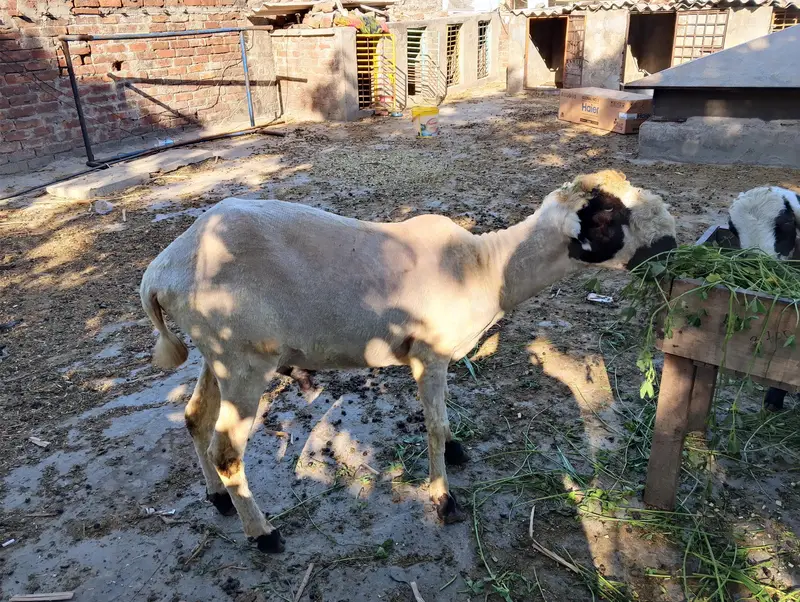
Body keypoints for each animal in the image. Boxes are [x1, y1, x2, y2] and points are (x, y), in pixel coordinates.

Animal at [139, 170, 676, 553]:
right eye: (608, 216)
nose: (671, 249)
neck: (486, 269)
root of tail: (161, 272)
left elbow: (444, 419)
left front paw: (457, 452)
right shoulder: (428, 355)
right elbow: (433, 425)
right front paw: (443, 499)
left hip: (216, 355)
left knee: (194, 418)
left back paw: (217, 500)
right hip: (244, 360)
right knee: (226, 450)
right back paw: (264, 534)